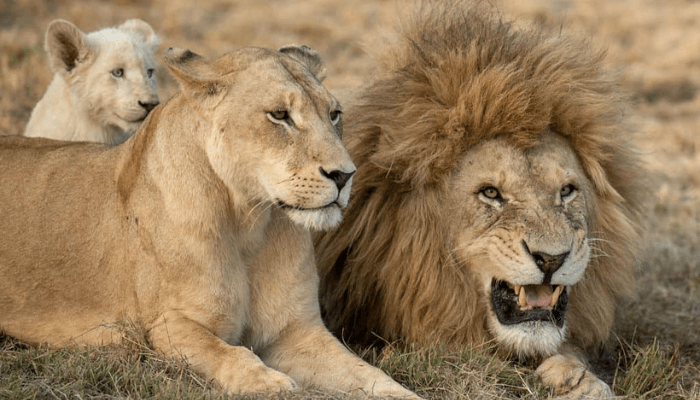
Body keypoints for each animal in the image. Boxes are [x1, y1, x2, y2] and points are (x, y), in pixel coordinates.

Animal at [0, 44, 418, 398]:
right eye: (280, 115)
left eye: (334, 114)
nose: (345, 175)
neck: (250, 223)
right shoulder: (167, 326)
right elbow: (232, 354)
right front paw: (274, 384)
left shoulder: (297, 332)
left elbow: (370, 374)